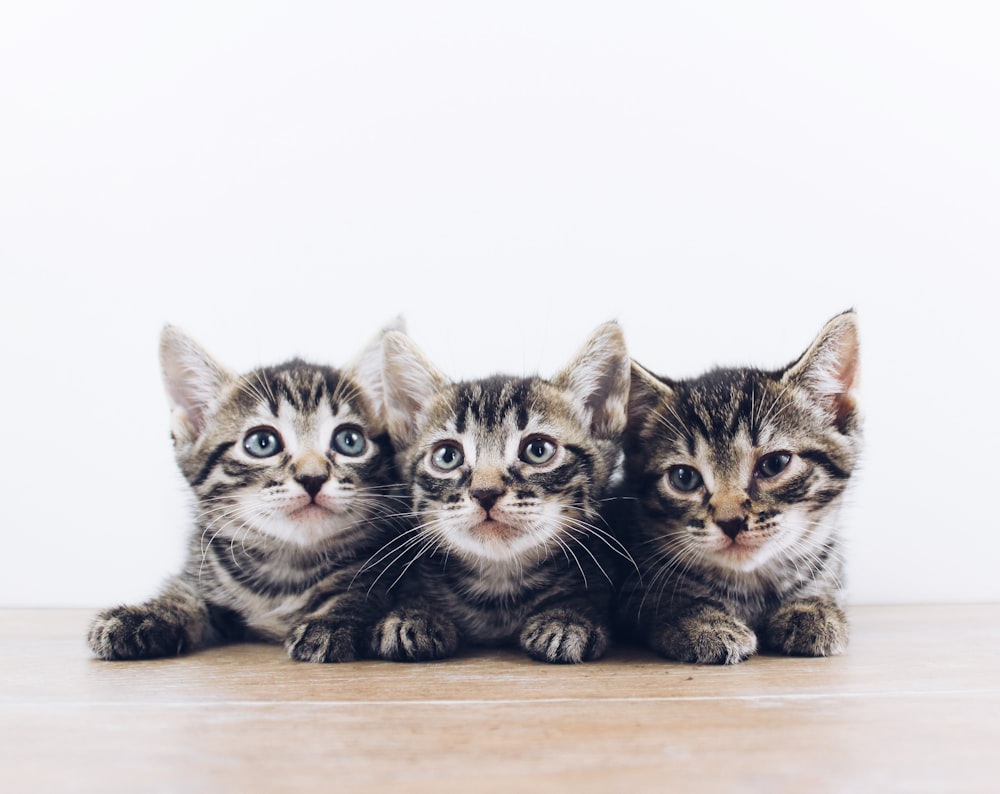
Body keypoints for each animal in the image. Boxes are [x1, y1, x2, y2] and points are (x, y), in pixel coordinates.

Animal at [86, 324, 398, 664]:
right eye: (262, 443)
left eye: (350, 441)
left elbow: (360, 593)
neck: (286, 568)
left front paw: (332, 619)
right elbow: (184, 594)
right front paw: (145, 614)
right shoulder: (204, 568)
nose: (312, 477)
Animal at [368, 322, 632, 664]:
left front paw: (568, 616)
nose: (485, 492)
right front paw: (413, 614)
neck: (498, 589)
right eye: (447, 456)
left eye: (538, 450)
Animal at [616, 310, 860, 664]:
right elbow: (661, 602)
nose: (729, 521)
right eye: (683, 478)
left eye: (775, 464)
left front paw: (813, 609)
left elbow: (827, 589)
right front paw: (703, 622)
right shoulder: (629, 586)